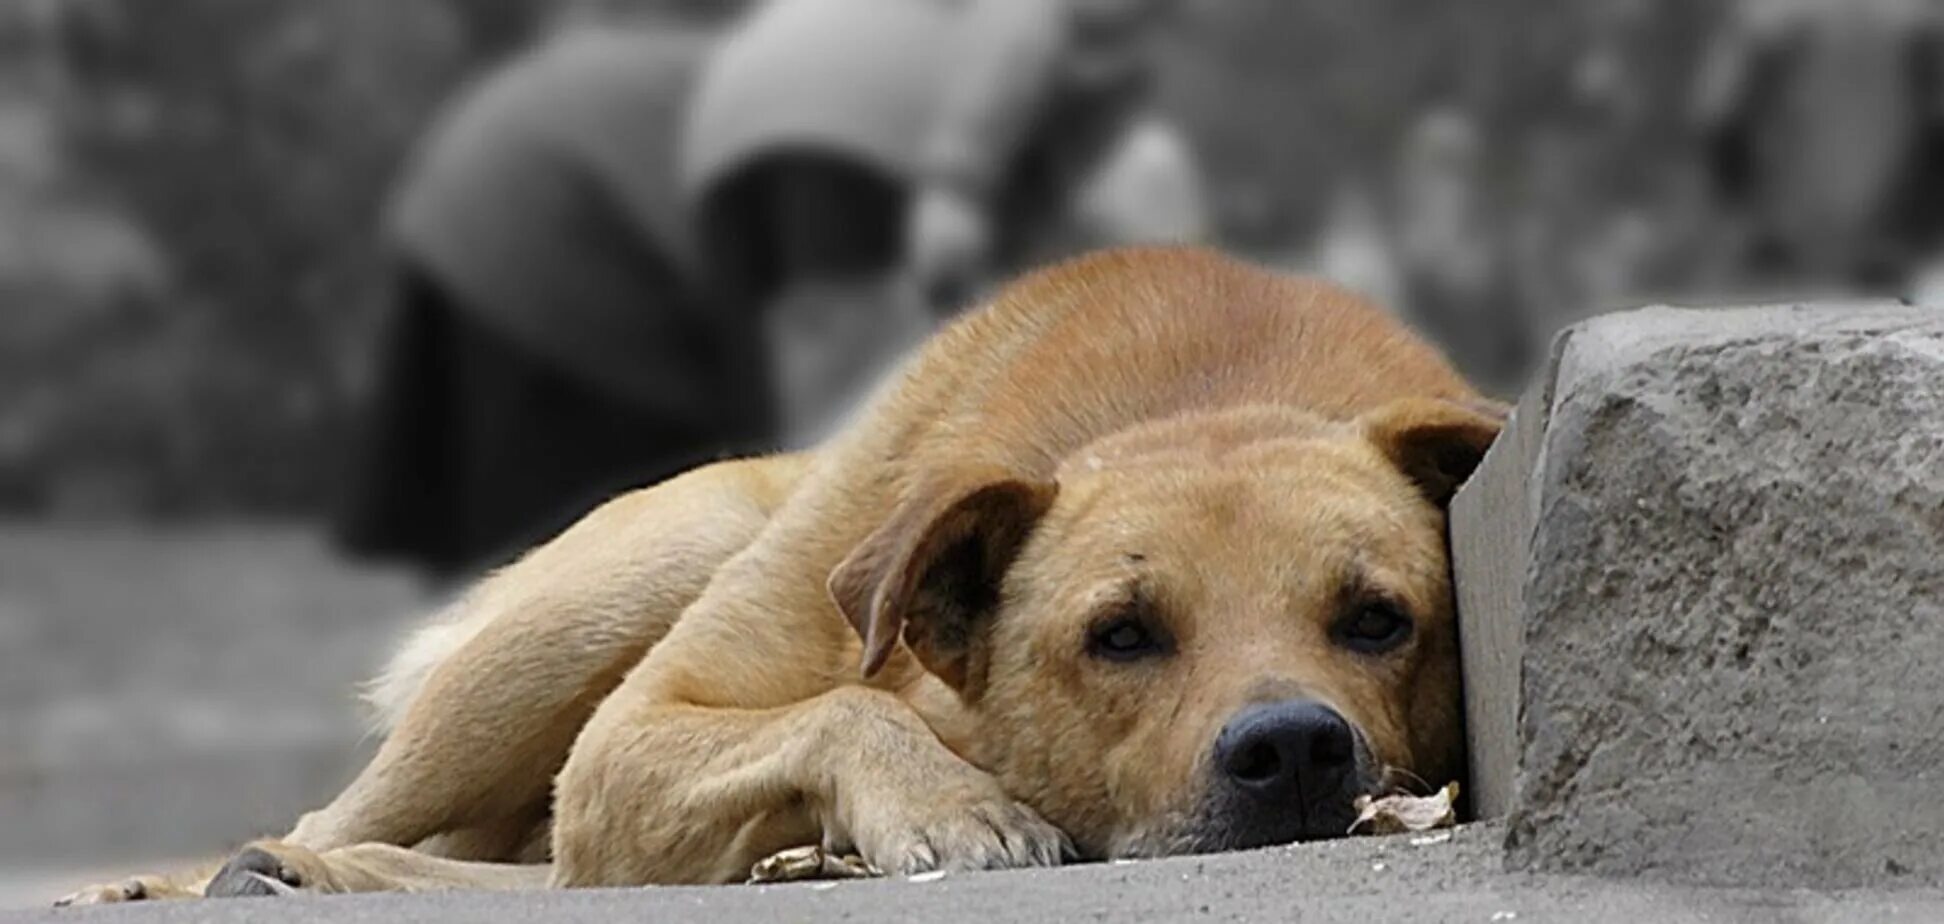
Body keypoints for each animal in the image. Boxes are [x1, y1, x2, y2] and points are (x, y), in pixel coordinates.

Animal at [56, 244, 1485, 902]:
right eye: (1121, 634)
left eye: (1379, 619)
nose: (1292, 751)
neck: (1210, 396)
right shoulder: (635, 732)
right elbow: (841, 703)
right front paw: (949, 805)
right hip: (612, 602)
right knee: (350, 819)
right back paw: (203, 877)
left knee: (544, 878)